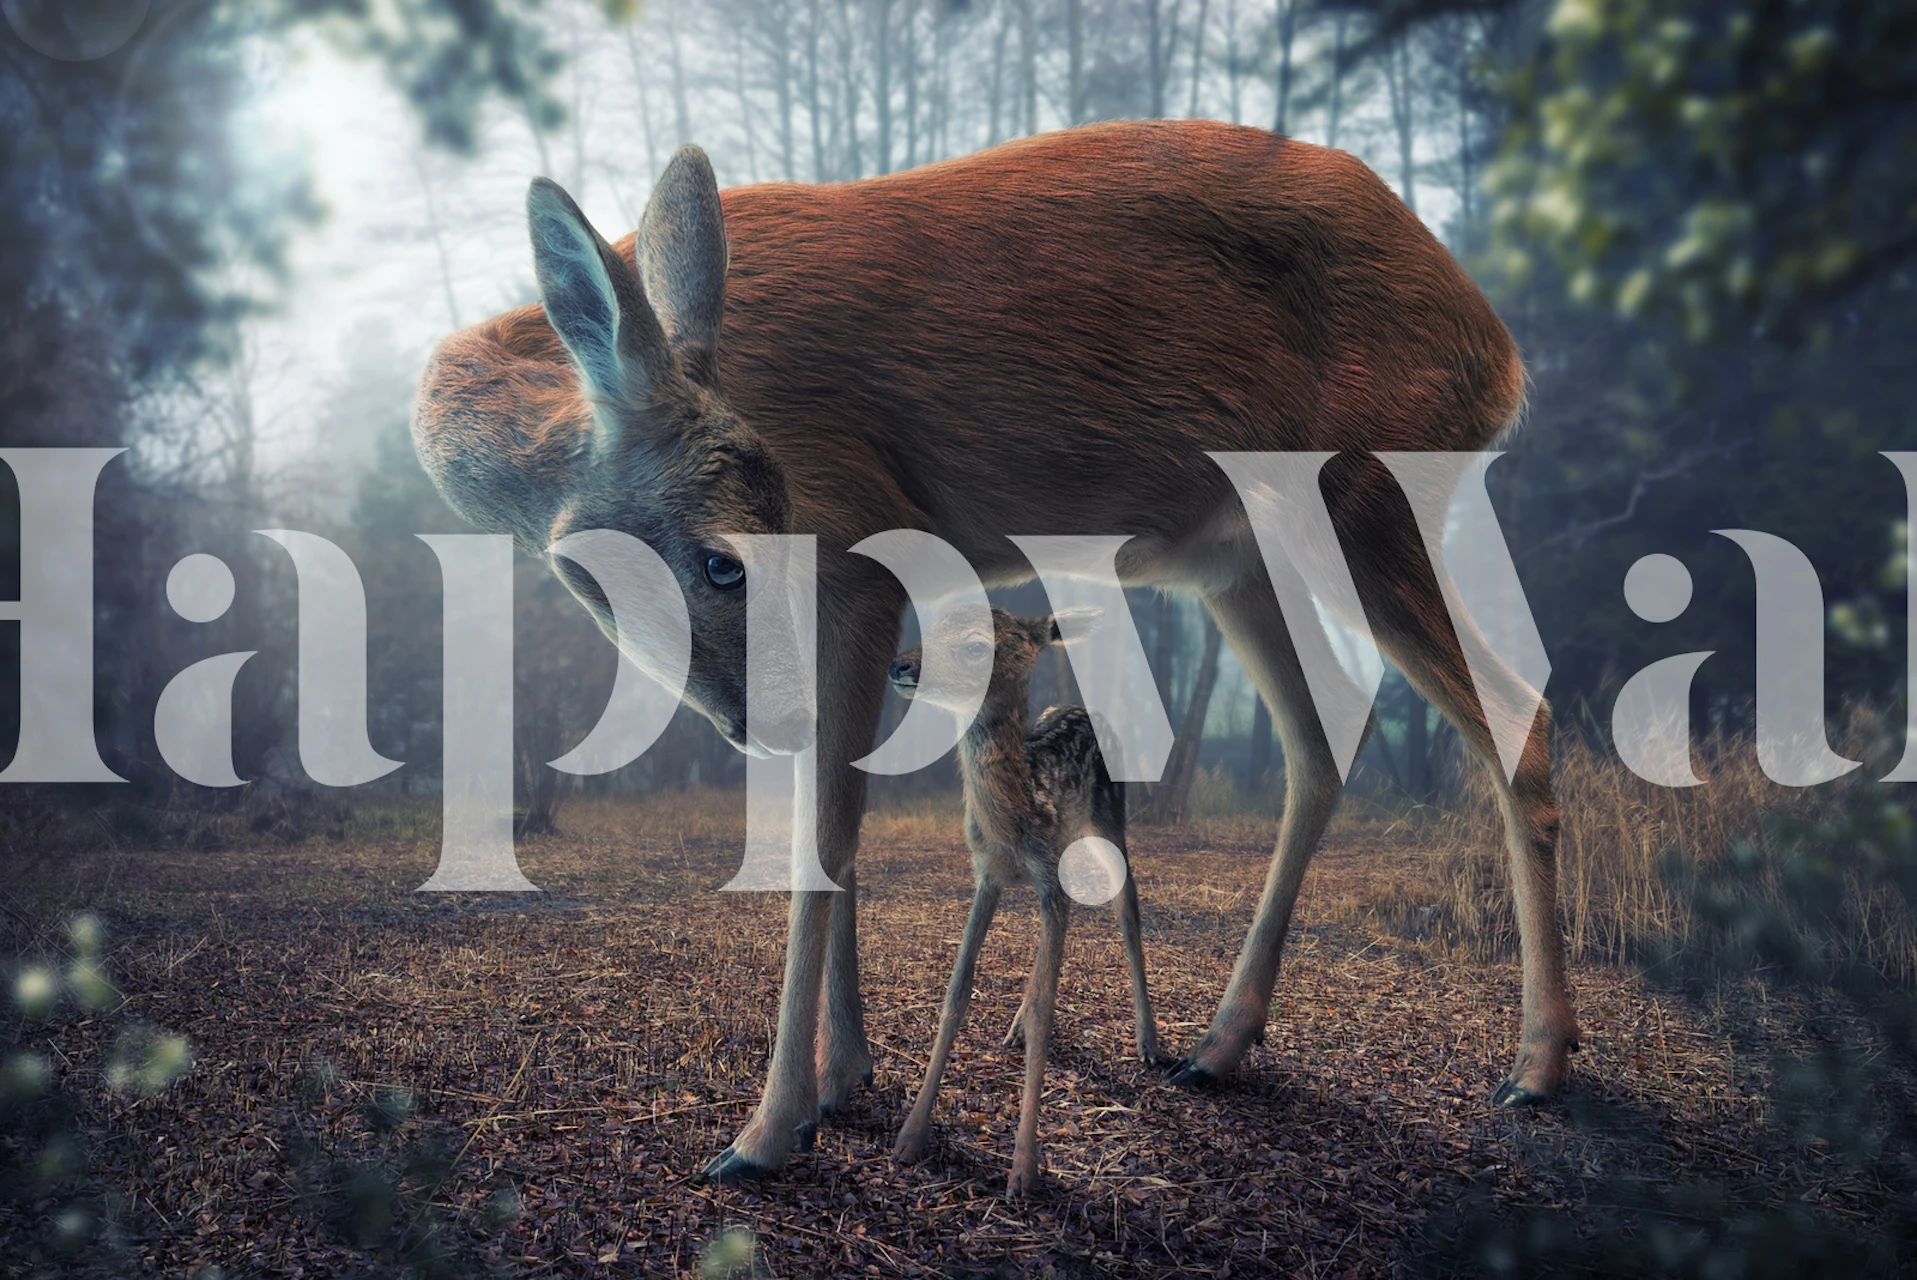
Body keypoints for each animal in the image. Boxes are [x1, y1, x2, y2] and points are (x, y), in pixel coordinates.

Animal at [887, 606, 1160, 1194]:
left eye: (975, 646)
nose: (900, 665)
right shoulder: (987, 875)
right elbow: (956, 991)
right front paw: (909, 1137)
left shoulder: (1047, 880)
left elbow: (1047, 1011)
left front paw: (1023, 1170)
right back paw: (1013, 1027)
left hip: (1111, 818)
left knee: (1128, 909)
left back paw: (1149, 1042)